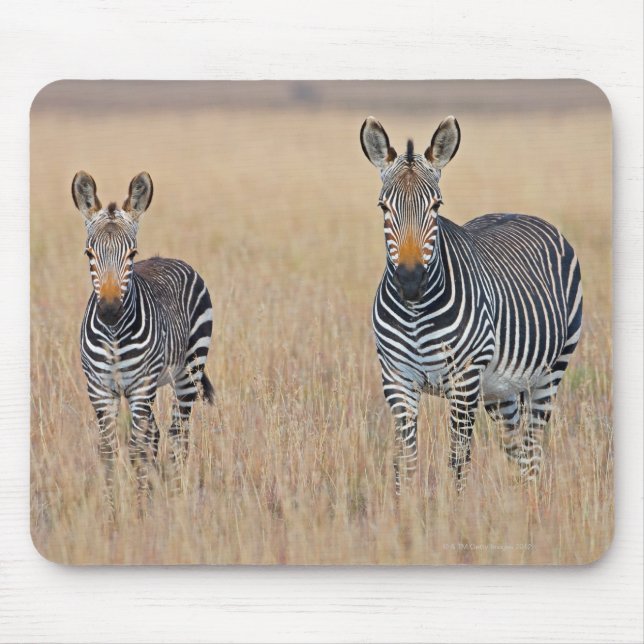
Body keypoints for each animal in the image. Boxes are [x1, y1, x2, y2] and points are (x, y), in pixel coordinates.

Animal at [72, 171, 214, 515]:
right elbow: (109, 452)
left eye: (132, 255)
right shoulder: (100, 389)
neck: (113, 335)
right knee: (157, 434)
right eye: (89, 254)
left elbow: (136, 450)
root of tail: (168, 258)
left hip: (188, 372)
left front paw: (138, 515)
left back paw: (176, 500)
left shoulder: (140, 387)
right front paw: (112, 515)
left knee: (178, 434)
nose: (110, 311)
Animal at [360, 115, 582, 495]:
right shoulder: (396, 379)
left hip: (551, 371)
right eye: (383, 207)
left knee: (533, 449)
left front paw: (454, 510)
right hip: (500, 389)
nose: (410, 281)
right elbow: (405, 462)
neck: (416, 314)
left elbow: (457, 461)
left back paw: (531, 504)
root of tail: (520, 212)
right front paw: (402, 510)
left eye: (436, 206)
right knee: (515, 448)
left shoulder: (464, 381)